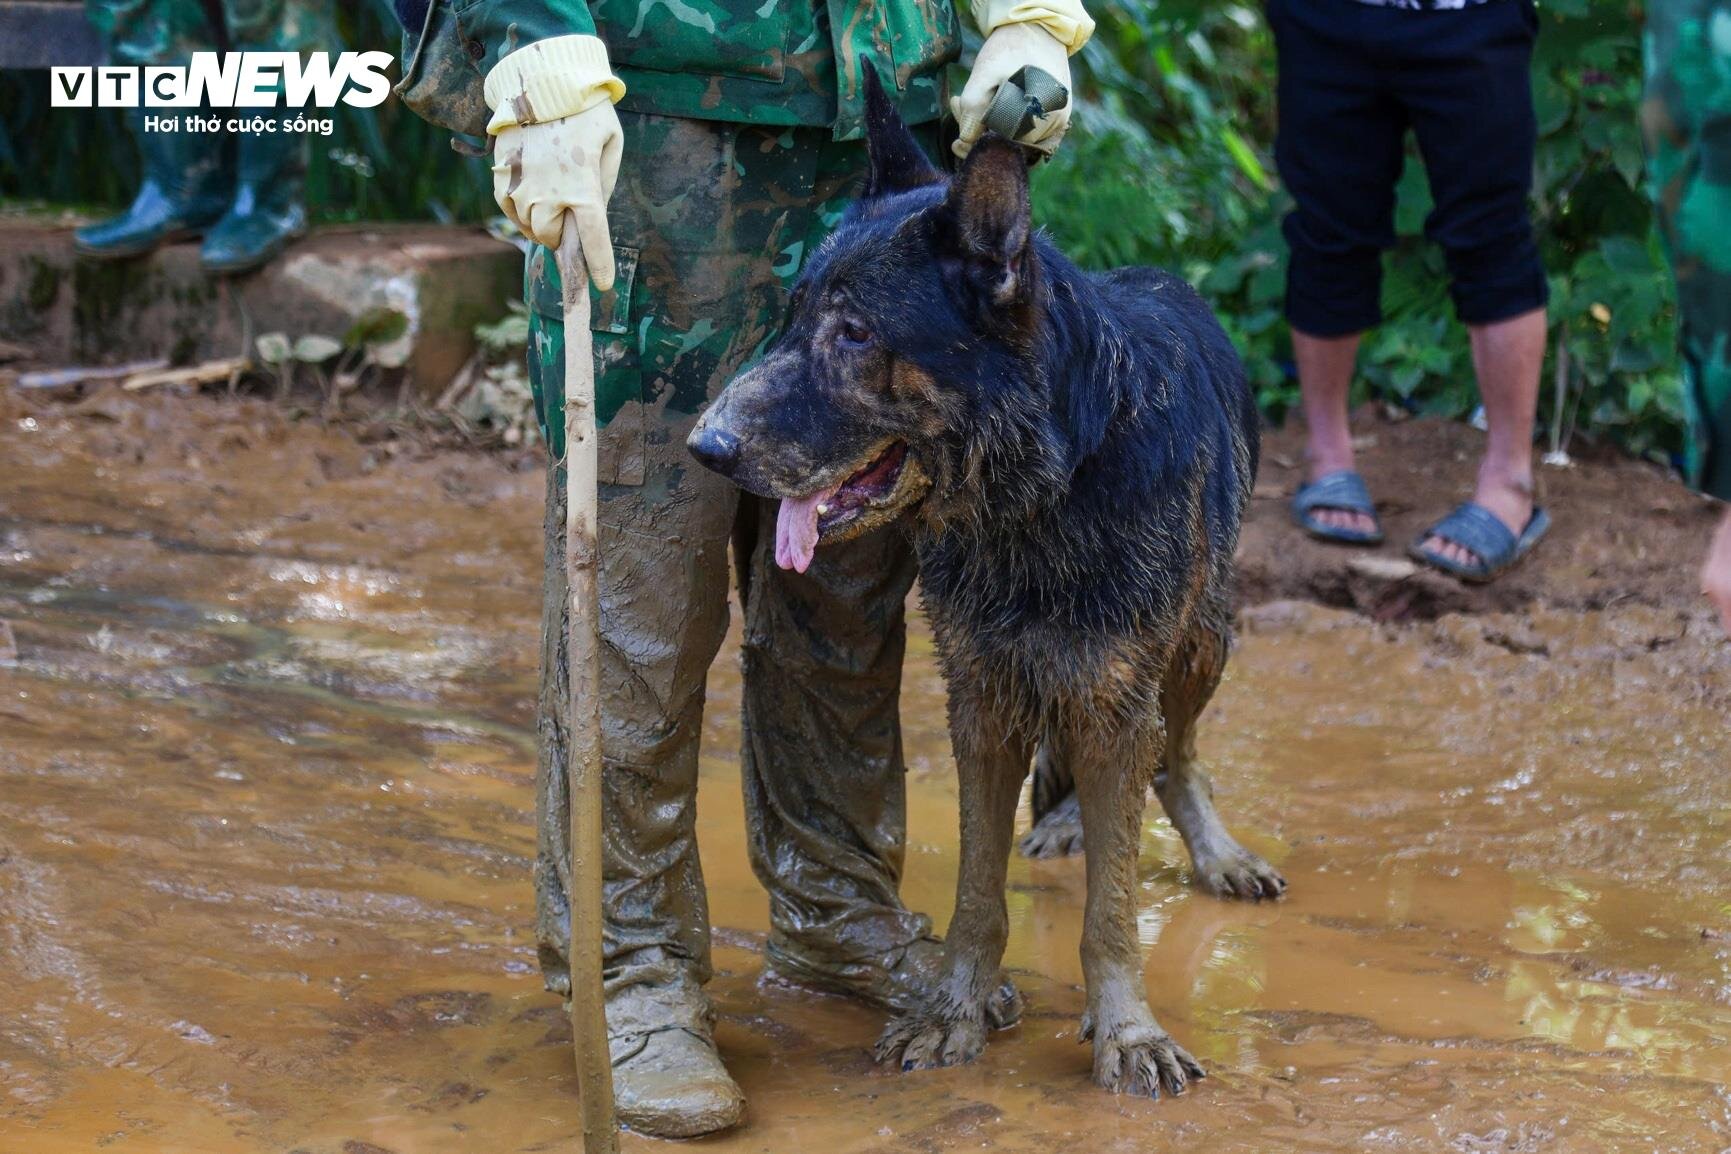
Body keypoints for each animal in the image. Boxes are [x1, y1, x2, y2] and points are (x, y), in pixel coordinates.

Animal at [682, 74, 1280, 1100]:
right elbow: (976, 890)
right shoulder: (983, 702)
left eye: (853, 334)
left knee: (1177, 753)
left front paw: (1126, 1030)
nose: (704, 447)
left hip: (1203, 642)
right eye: (792, 317)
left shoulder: (1114, 690)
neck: (1043, 494)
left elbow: (1111, 904)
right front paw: (952, 1008)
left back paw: (1210, 849)